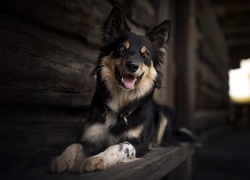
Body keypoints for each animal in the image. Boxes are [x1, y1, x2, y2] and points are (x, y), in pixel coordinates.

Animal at [50, 6, 172, 174]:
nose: (132, 65)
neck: (122, 101)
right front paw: (62, 159)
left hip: (165, 114)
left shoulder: (138, 144)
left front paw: (97, 159)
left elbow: (119, 146)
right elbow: (72, 146)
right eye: (121, 49)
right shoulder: (89, 139)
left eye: (145, 54)